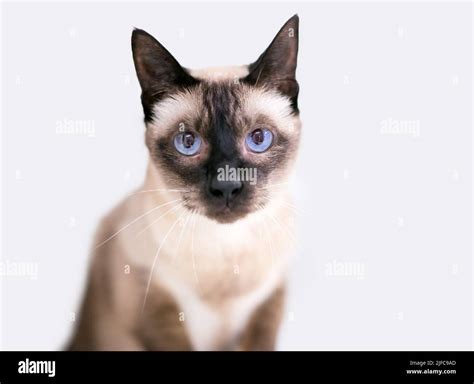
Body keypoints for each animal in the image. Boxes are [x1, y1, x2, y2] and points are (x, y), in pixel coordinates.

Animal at [67, 14, 300, 352]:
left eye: (259, 138)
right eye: (188, 143)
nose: (226, 186)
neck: (225, 253)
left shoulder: (268, 302)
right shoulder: (154, 307)